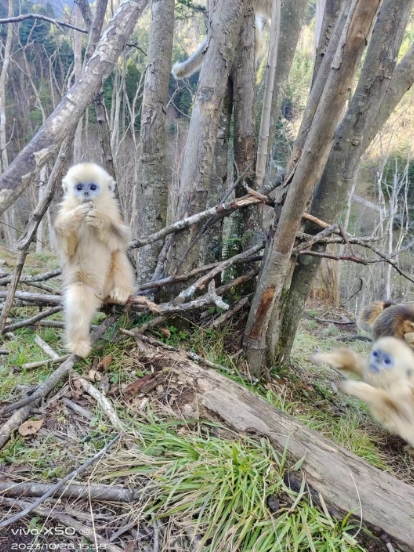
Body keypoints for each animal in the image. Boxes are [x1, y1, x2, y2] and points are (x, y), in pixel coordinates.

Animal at [52, 163, 135, 358]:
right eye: (79, 187)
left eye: (92, 187)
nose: (85, 193)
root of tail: (102, 294)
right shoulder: (64, 212)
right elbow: (66, 250)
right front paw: (74, 217)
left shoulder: (113, 211)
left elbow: (122, 238)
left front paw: (100, 221)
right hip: (87, 286)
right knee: (79, 300)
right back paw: (78, 344)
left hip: (109, 284)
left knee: (117, 254)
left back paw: (122, 291)